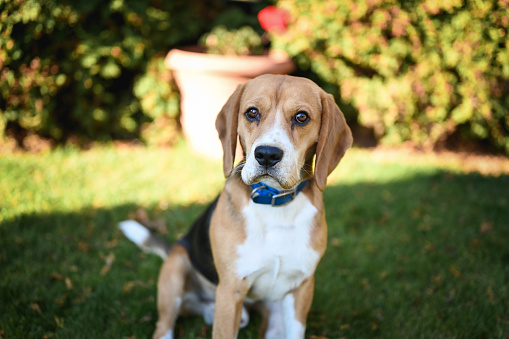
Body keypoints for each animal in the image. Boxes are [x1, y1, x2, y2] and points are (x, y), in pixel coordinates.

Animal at [119, 75, 352, 339]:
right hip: (176, 269)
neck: (274, 203)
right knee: (164, 325)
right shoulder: (230, 290)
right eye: (252, 112)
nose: (267, 155)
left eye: (301, 117)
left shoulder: (301, 289)